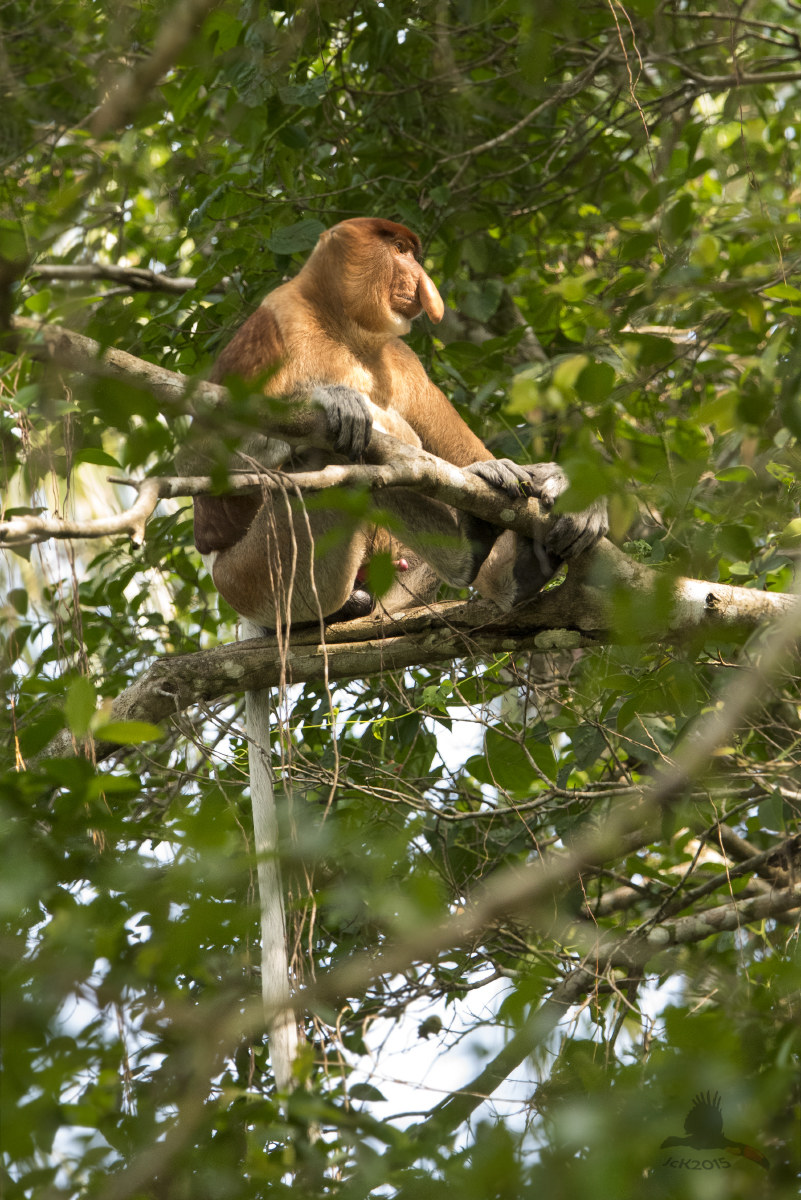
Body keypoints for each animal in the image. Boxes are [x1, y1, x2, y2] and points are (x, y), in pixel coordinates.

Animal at [180, 217, 607, 627]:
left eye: (412, 253)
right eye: (399, 249)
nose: (422, 281)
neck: (343, 327)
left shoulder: (403, 359)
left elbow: (465, 453)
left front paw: (556, 484)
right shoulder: (273, 321)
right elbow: (201, 455)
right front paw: (333, 399)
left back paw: (516, 567)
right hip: (256, 579)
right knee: (336, 458)